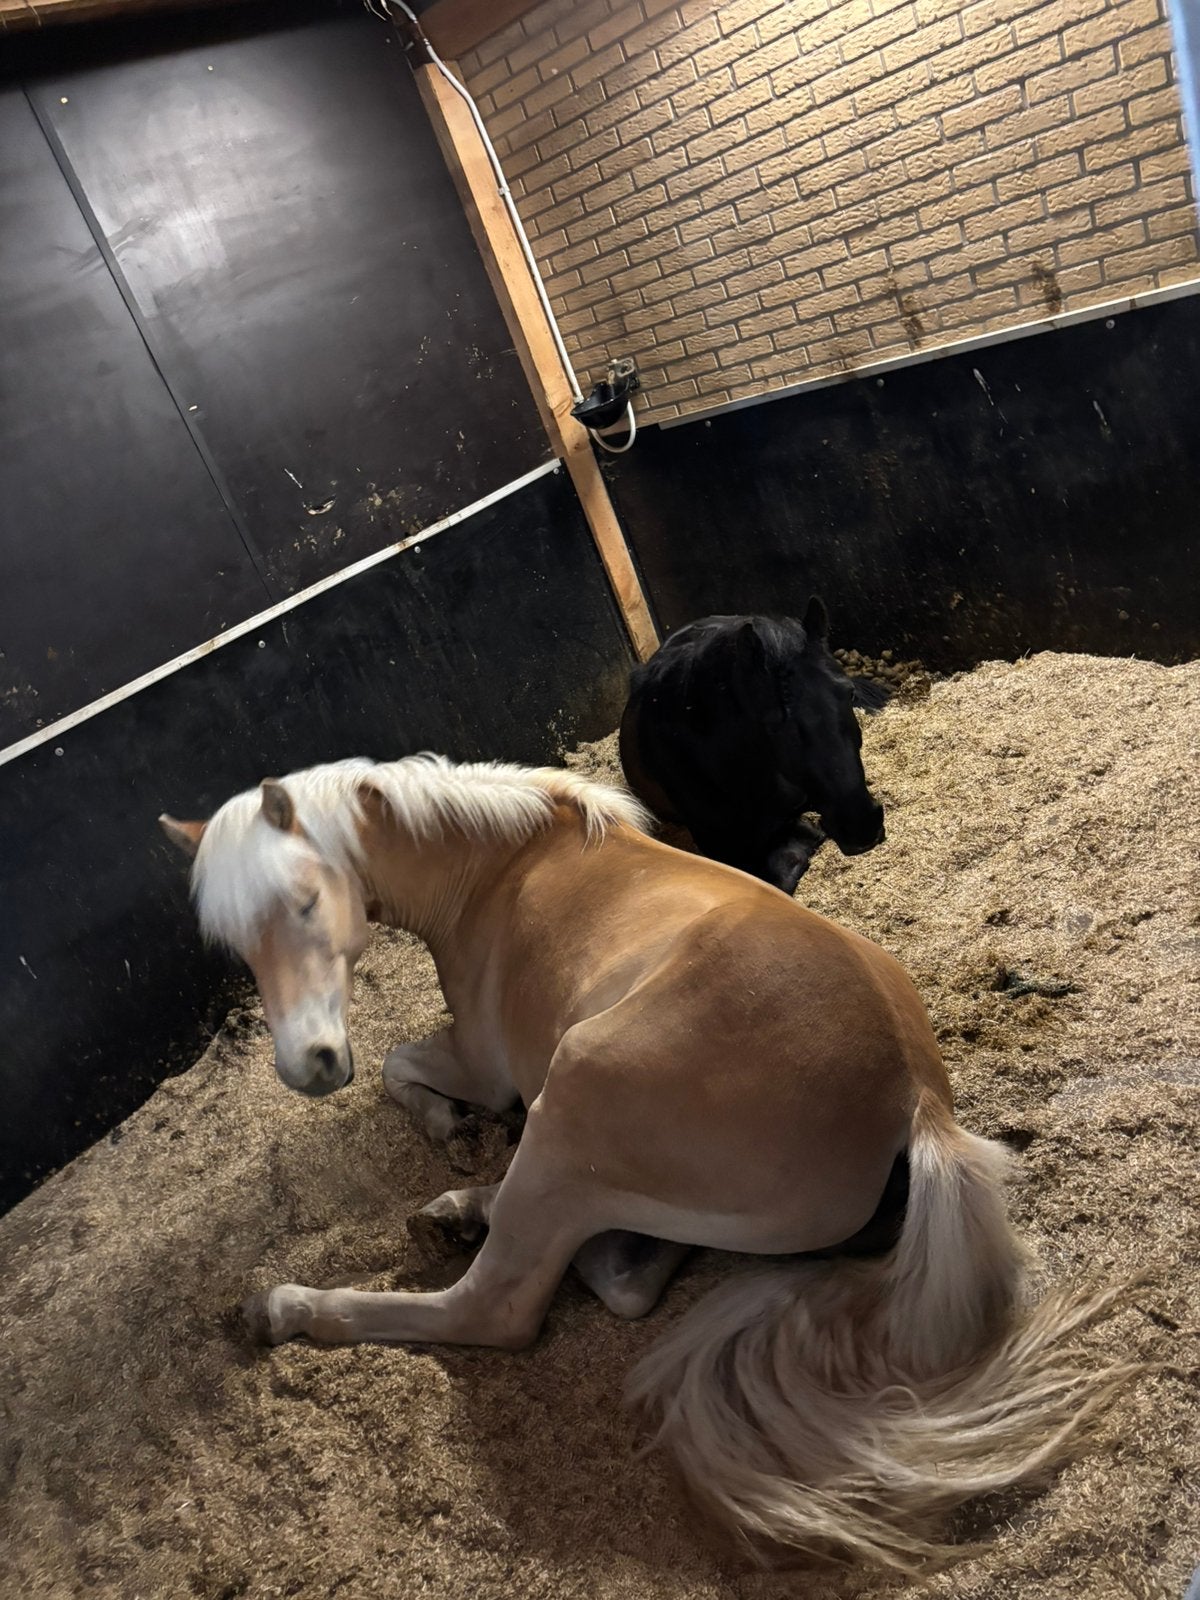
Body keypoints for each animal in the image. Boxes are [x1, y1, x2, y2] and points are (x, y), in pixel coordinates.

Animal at [160, 754, 1130, 1571]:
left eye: (303, 903)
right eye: (236, 942)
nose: (309, 1066)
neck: (497, 866)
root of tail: (917, 1105)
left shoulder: (485, 1063)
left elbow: (402, 1064)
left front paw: (447, 1128)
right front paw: (455, 1146)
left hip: (573, 1094)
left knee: (499, 1304)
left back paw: (293, 1303)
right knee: (623, 1272)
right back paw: (461, 1213)